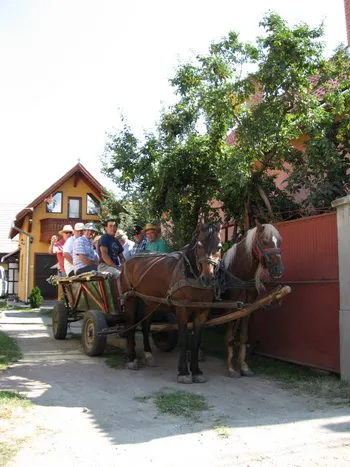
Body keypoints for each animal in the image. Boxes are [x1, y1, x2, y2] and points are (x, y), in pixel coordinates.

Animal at [119, 221, 220, 382]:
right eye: (199, 245)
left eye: (219, 246)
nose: (208, 278)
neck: (190, 274)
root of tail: (129, 260)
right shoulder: (182, 309)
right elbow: (184, 339)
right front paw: (183, 372)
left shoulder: (202, 311)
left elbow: (196, 341)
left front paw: (197, 371)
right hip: (130, 298)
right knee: (130, 325)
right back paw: (132, 359)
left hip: (149, 301)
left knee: (146, 326)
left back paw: (148, 354)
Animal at [220, 221, 284, 378]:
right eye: (265, 241)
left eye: (278, 242)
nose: (278, 270)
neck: (240, 277)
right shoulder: (229, 309)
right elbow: (230, 337)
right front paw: (231, 367)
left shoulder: (246, 310)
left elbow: (243, 336)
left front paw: (243, 366)